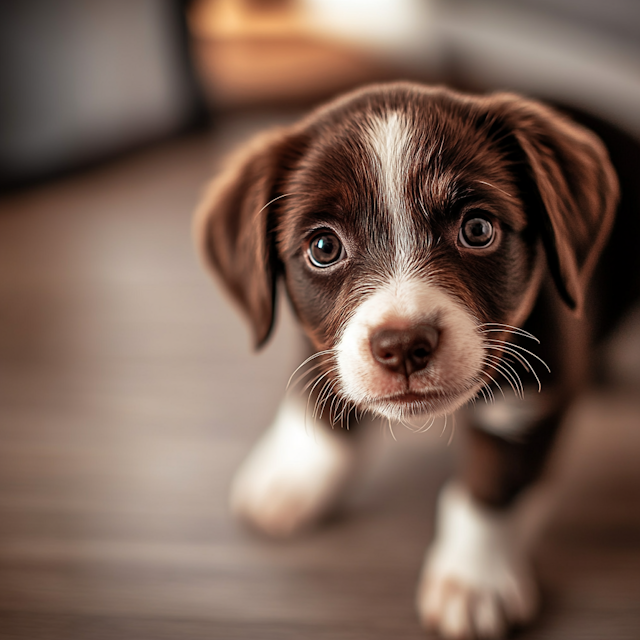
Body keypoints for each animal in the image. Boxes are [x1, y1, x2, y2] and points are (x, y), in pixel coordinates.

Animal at [194, 82, 636, 636]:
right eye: (323, 246)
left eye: (478, 229)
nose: (403, 345)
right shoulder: (321, 345)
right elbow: (318, 398)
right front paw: (295, 473)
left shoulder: (536, 389)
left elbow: (494, 486)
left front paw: (473, 580)